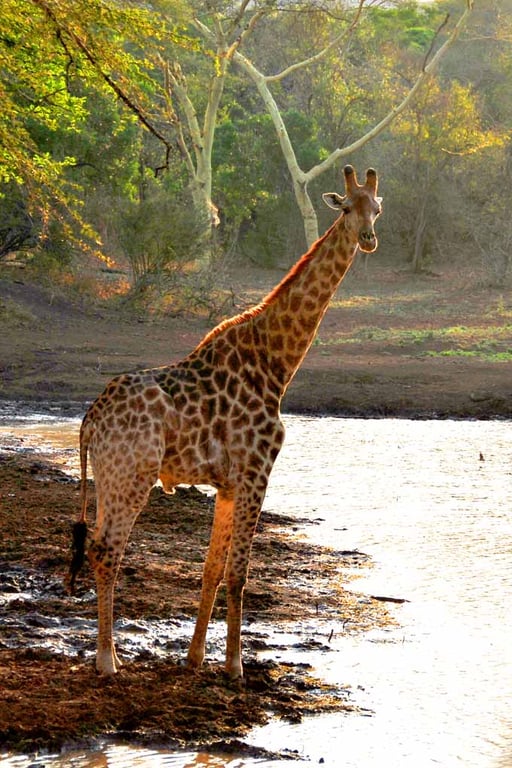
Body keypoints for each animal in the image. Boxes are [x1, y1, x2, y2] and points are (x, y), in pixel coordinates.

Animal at [68, 164, 382, 677]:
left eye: (376, 207)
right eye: (348, 208)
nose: (369, 238)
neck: (277, 362)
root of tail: (90, 420)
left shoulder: (230, 484)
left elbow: (212, 569)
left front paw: (195, 658)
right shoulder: (257, 472)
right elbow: (239, 573)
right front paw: (236, 666)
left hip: (107, 476)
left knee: (97, 546)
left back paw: (111, 654)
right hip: (132, 475)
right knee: (106, 550)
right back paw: (107, 661)